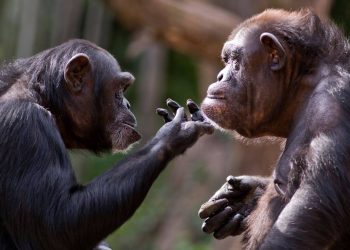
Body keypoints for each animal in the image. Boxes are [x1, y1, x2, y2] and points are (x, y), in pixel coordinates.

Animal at [0, 39, 213, 250]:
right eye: (119, 88)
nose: (127, 104)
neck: (44, 100)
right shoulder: (25, 124)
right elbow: (55, 223)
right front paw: (173, 133)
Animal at [198, 8, 350, 249]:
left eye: (235, 61)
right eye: (226, 60)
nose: (220, 76)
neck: (302, 88)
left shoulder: (331, 111)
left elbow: (312, 213)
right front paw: (244, 199)